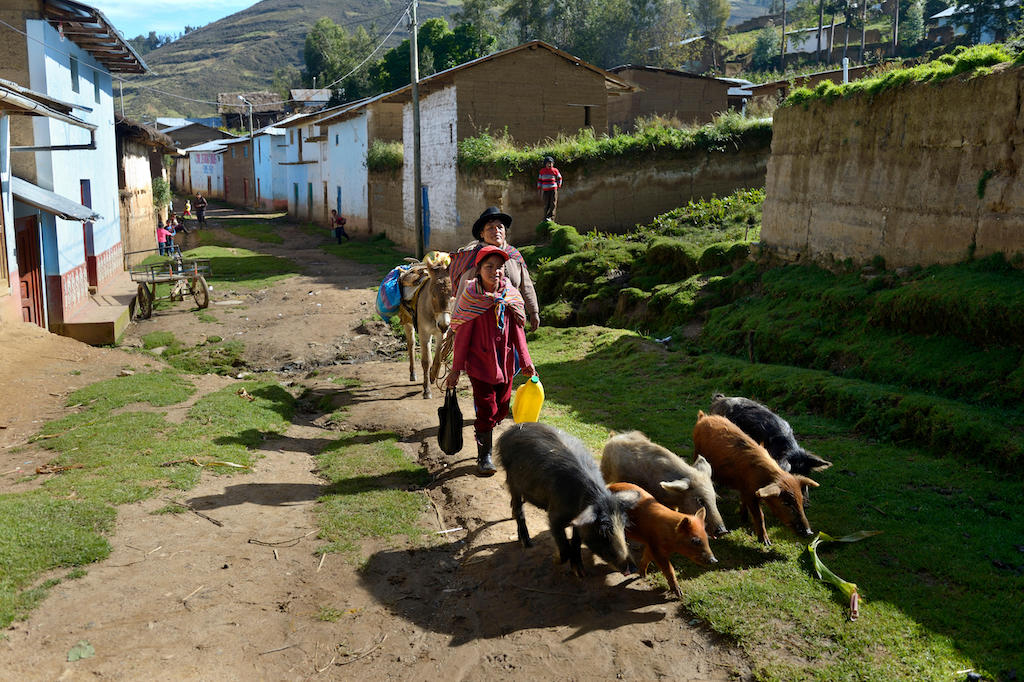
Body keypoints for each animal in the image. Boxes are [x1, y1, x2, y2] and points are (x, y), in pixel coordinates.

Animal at [493, 421, 630, 577]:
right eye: (602, 532)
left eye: (624, 527)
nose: (628, 568)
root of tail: (511, 430)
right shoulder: (554, 516)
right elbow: (563, 544)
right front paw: (555, 559)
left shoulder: (580, 520)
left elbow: (576, 541)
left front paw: (580, 573)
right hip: (512, 479)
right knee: (518, 508)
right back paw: (527, 543)